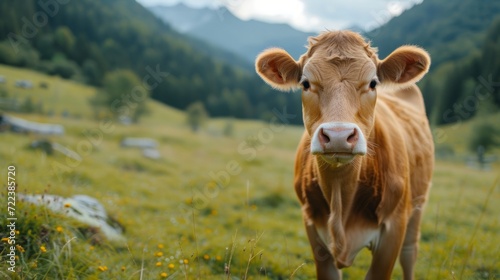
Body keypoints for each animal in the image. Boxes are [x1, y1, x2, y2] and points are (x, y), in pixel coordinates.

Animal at [256, 29, 432, 278]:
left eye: (373, 83)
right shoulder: (313, 227)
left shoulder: (394, 228)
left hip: (418, 204)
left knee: (410, 253)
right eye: (305, 83)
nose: (338, 135)